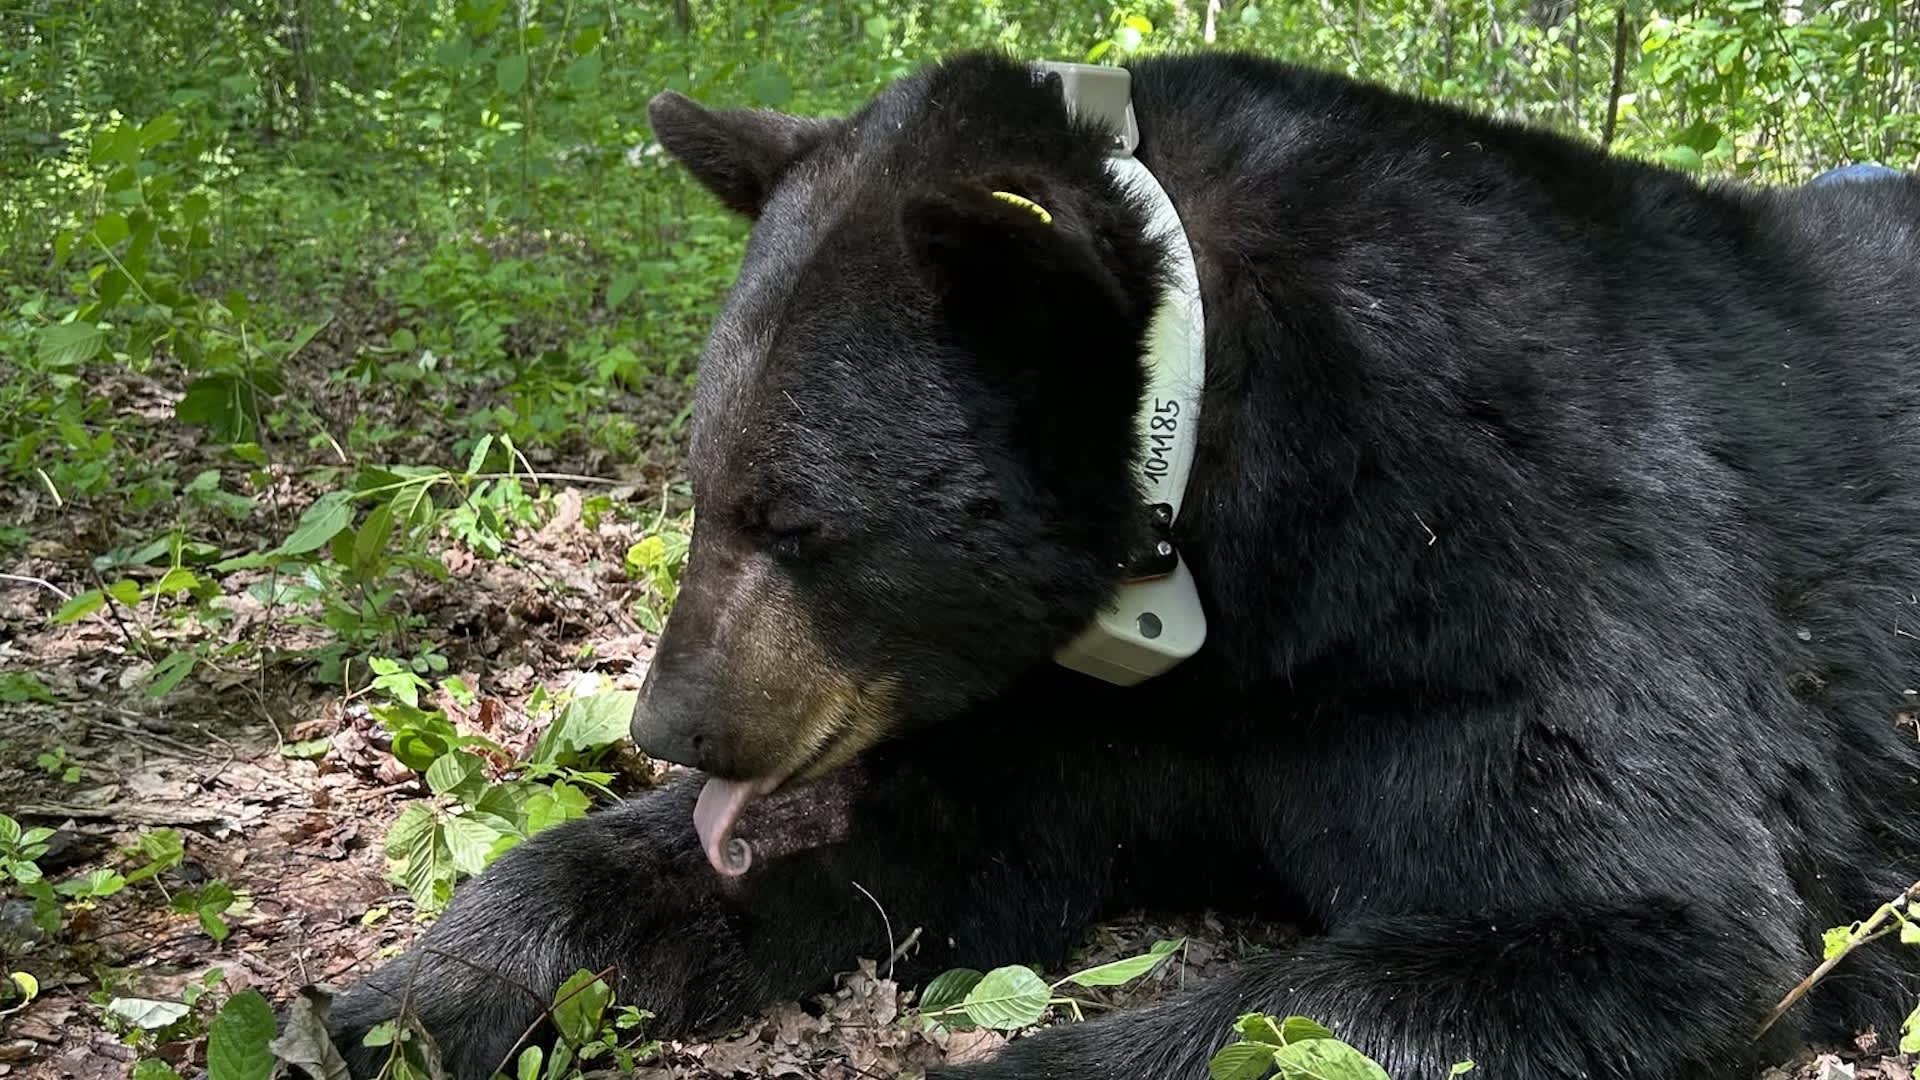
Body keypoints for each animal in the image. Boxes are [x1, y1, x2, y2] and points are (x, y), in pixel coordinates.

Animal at [330, 51, 1920, 1079]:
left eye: (798, 521)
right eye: (705, 489)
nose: (677, 723)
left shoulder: (1520, 568)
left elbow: (1640, 918)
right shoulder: (1068, 702)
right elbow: (908, 838)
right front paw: (391, 999)